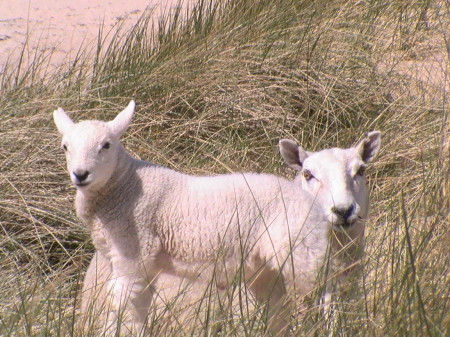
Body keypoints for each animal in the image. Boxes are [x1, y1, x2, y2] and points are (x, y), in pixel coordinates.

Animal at [54, 101, 382, 334]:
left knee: (322, 294)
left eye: (106, 145)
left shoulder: (134, 254)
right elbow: (132, 309)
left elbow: (124, 311)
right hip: (270, 269)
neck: (126, 184)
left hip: (300, 253)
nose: (80, 174)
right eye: (65, 147)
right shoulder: (129, 261)